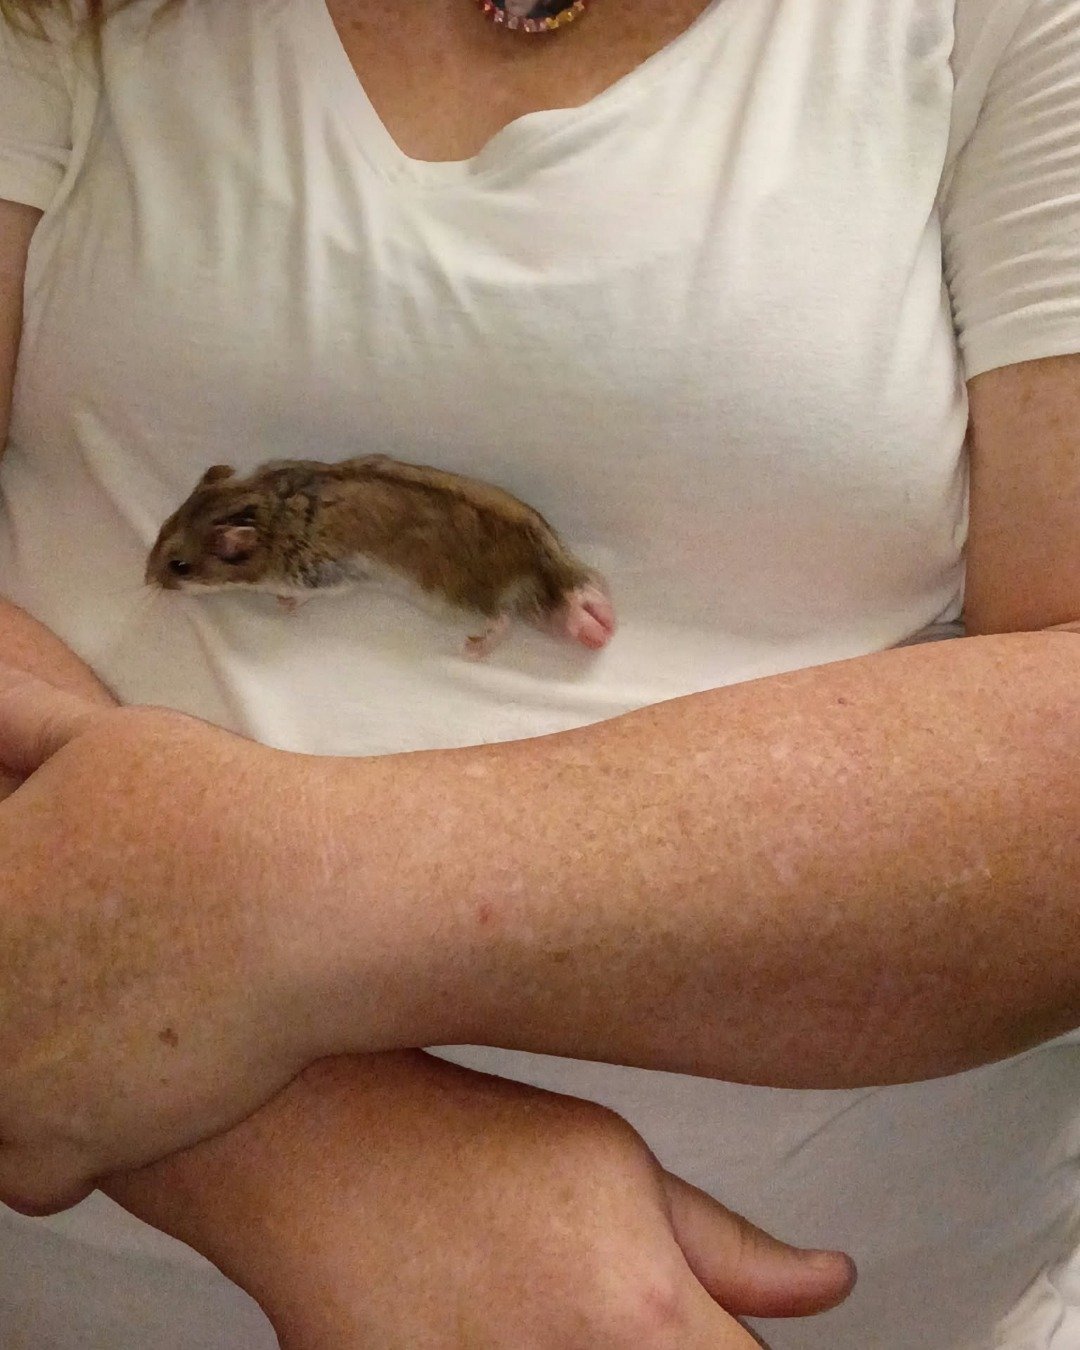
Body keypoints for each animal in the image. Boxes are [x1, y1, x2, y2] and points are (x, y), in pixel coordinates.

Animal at [145, 455, 616, 657]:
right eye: (162, 526)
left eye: (178, 566)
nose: (147, 582)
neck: (267, 513)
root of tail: (544, 561)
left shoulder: (325, 577)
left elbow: (302, 595)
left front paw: (283, 604)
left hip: (459, 599)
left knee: (501, 620)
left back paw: (473, 648)